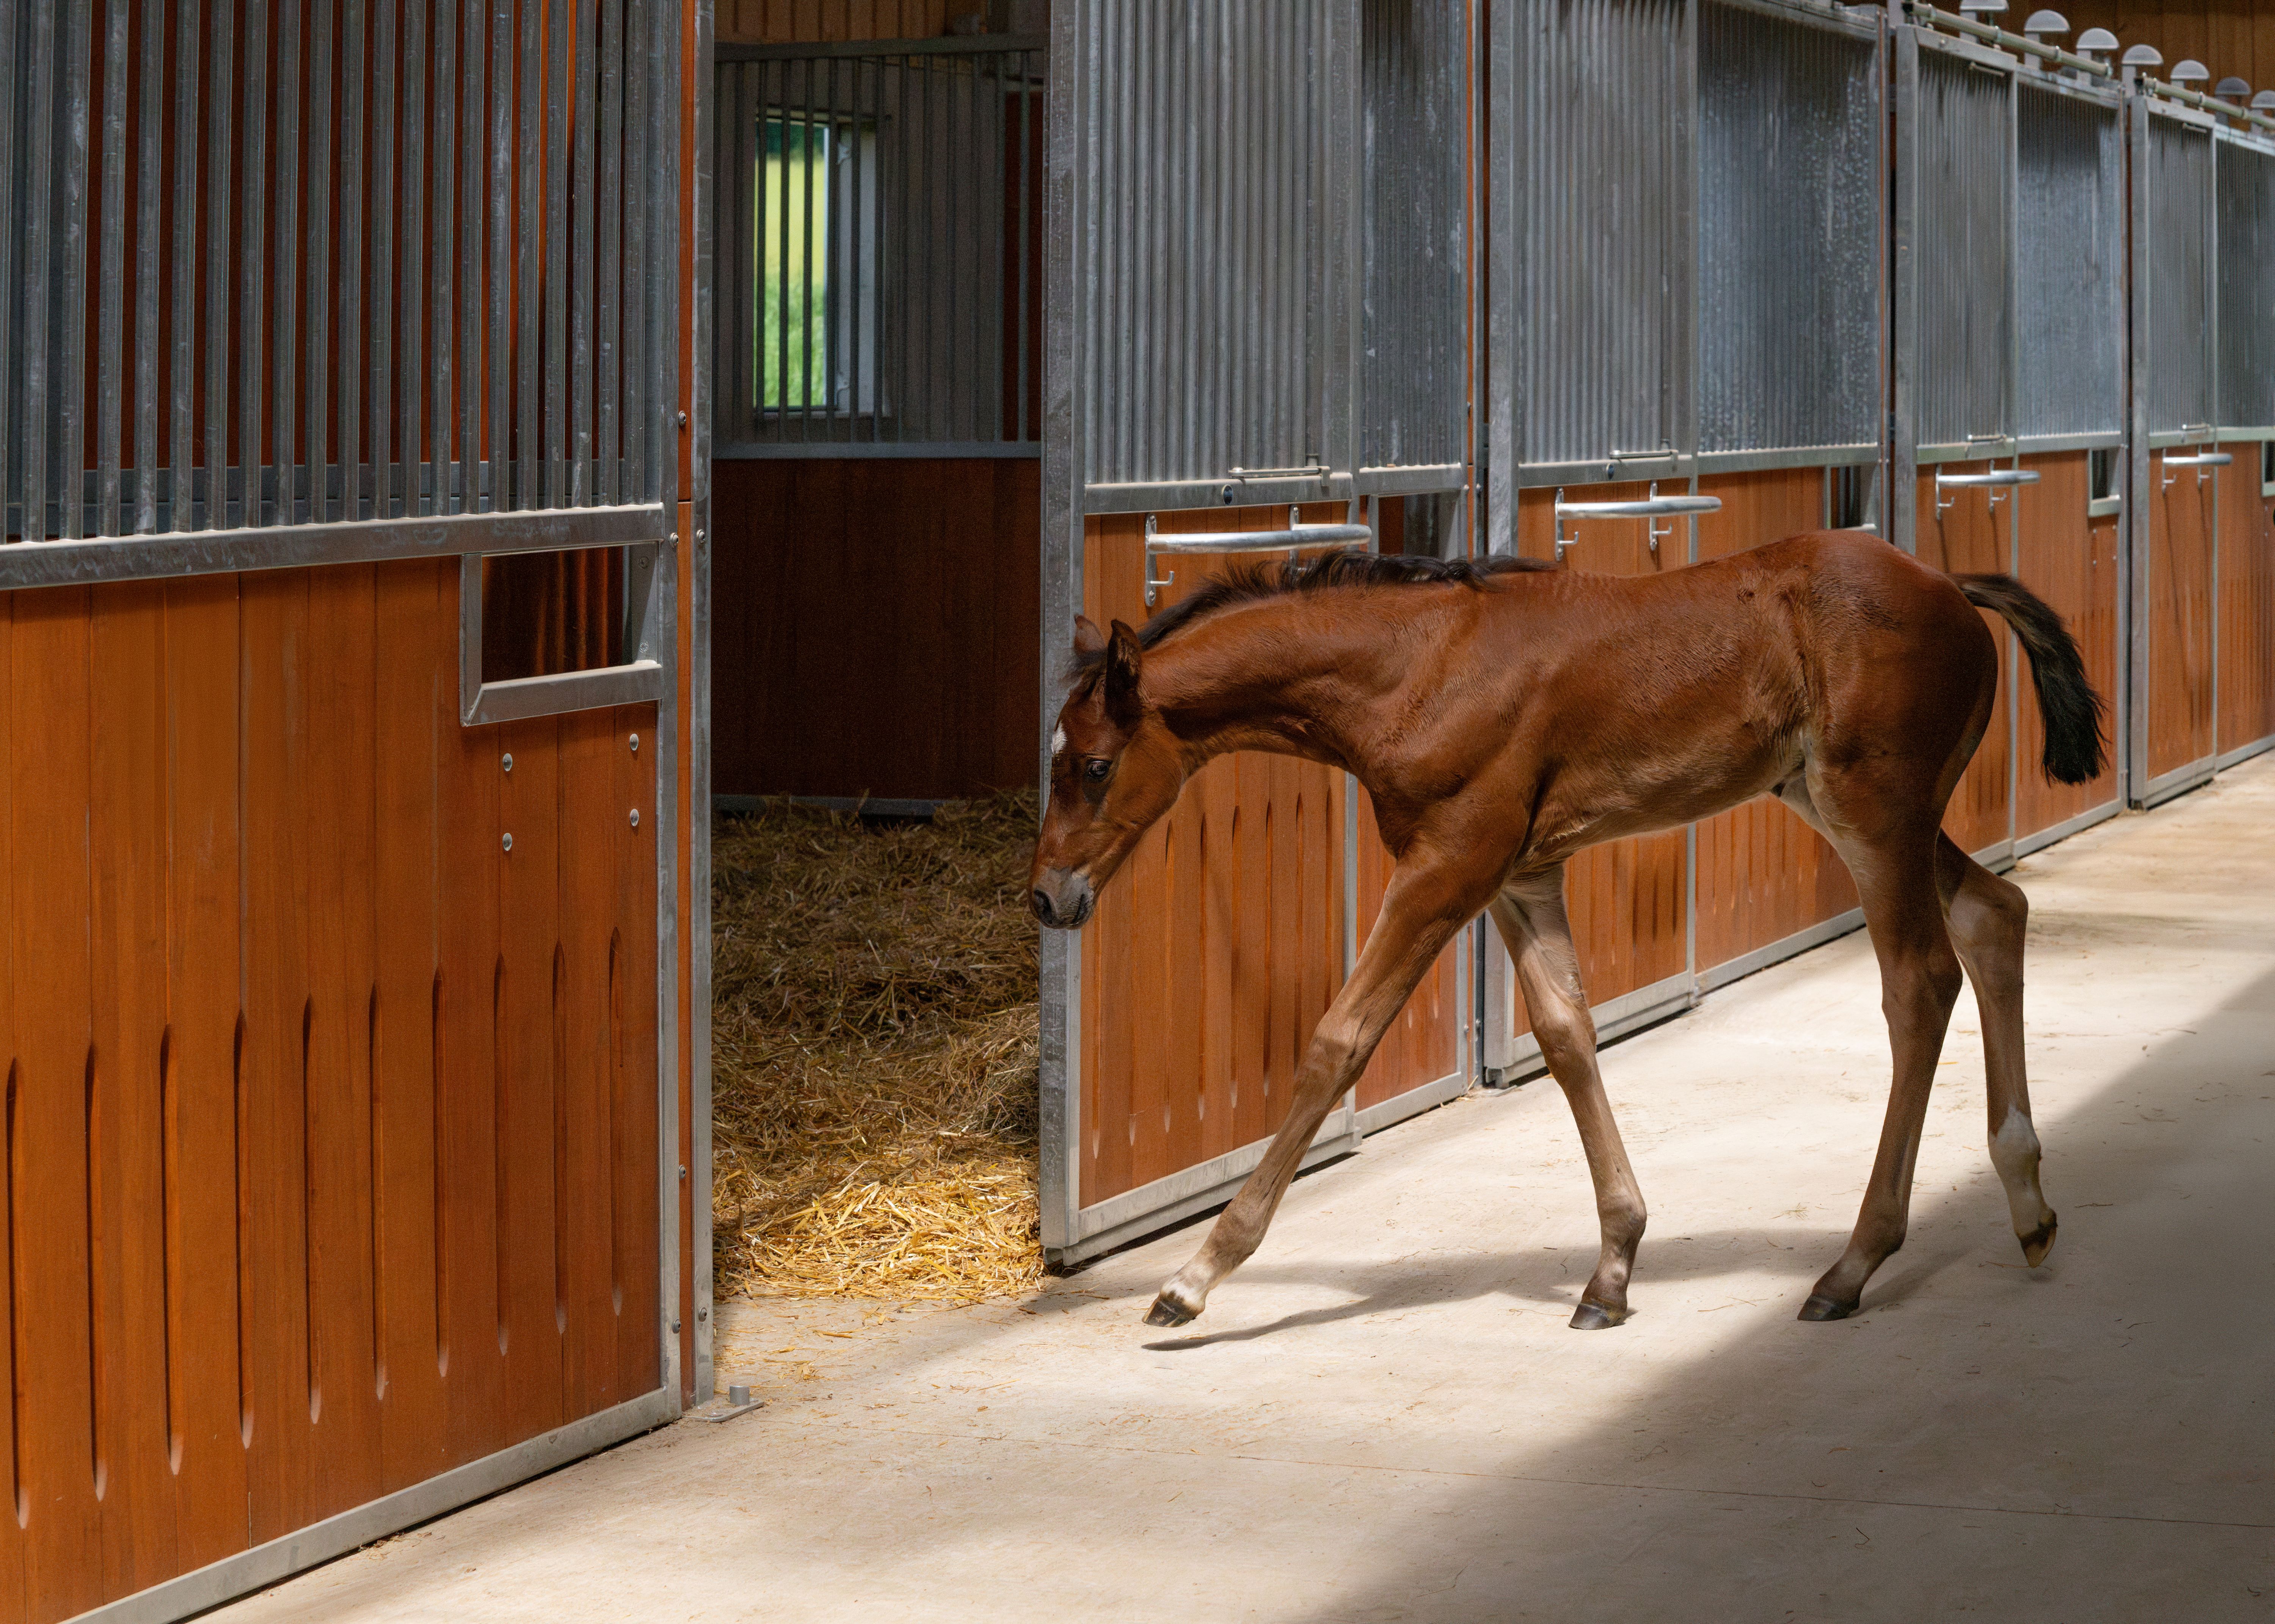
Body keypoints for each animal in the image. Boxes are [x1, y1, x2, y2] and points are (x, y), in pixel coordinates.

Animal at [1028, 529, 2107, 1331]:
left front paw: (1194, 1277)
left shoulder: (1448, 866)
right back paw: (2030, 1207)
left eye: (1092, 765)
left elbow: (1339, 1041)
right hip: (1852, 808)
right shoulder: (1519, 874)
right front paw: (1613, 1269)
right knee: (1995, 914)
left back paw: (1852, 1266)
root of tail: (1948, 583)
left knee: (1920, 982)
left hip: (1875, 812)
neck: (1418, 670)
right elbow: (1565, 1035)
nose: (1047, 897)